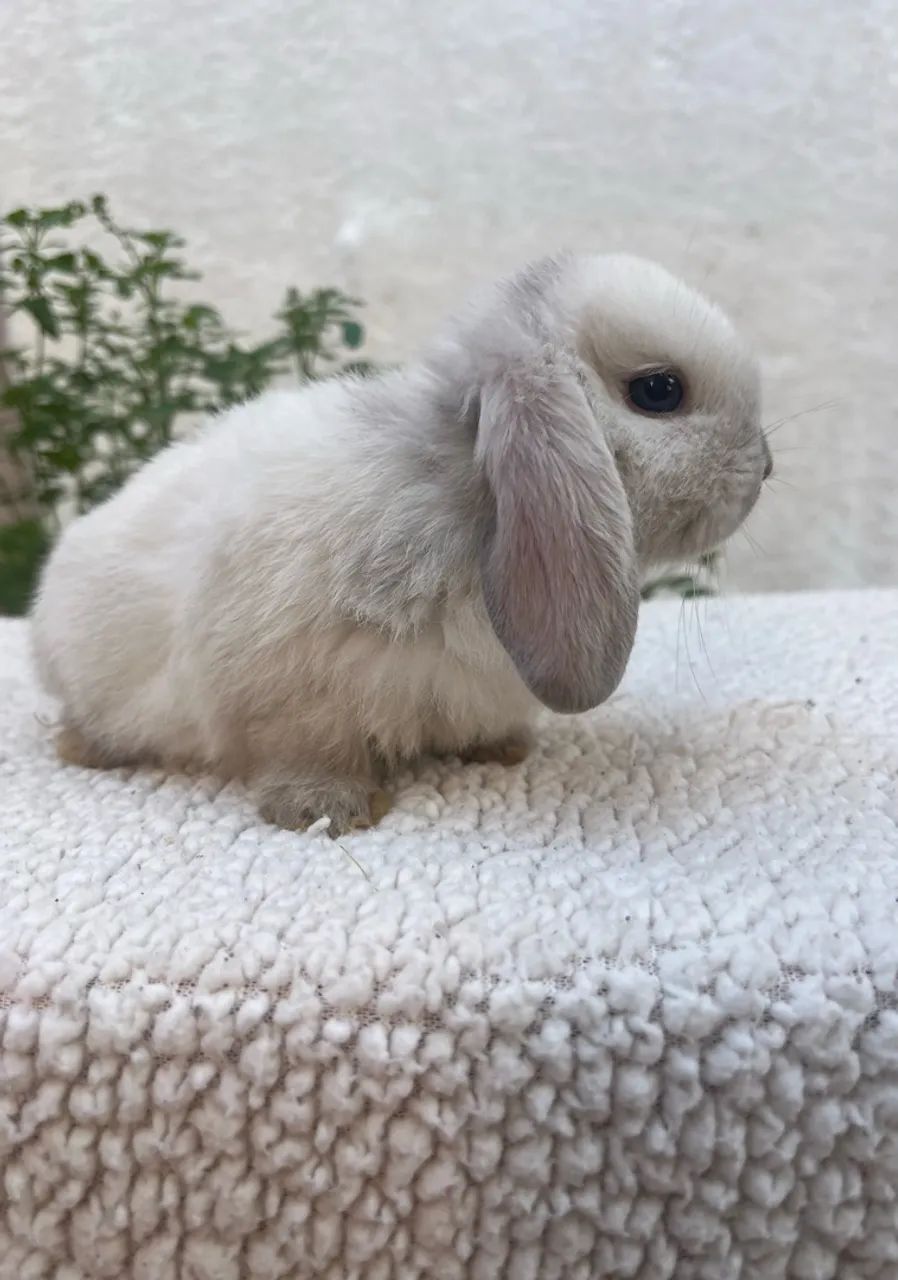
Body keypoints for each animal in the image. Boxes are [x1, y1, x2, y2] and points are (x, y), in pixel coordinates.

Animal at [31, 252, 770, 834]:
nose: (763, 469)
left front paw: (503, 748)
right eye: (659, 390)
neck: (462, 497)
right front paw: (325, 811)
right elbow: (307, 748)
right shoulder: (288, 687)